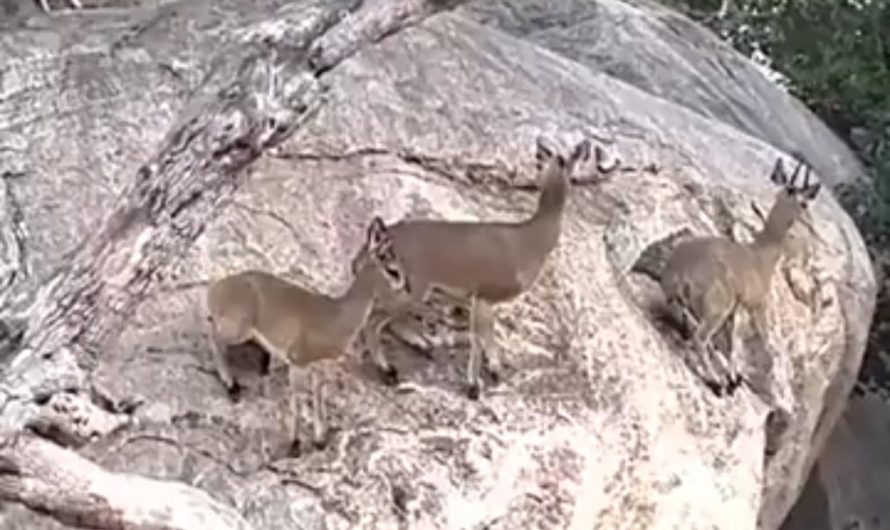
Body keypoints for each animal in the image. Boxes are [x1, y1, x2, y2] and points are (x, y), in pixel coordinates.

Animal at [205, 217, 408, 455]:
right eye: (393, 270)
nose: (406, 288)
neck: (337, 316)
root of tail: (215, 289)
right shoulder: (298, 362)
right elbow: (298, 399)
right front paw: (295, 444)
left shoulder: (319, 366)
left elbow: (318, 397)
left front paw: (320, 440)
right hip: (238, 329)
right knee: (214, 339)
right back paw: (232, 386)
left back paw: (261, 364)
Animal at [354, 136, 619, 400]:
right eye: (579, 155)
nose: (590, 148)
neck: (531, 241)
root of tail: (369, 248)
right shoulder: (485, 293)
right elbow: (479, 338)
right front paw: (474, 386)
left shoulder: (483, 299)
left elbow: (488, 334)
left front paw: (494, 371)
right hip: (412, 287)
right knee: (373, 321)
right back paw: (389, 371)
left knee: (387, 320)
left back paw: (421, 346)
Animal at [659, 155, 821, 394]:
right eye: (804, 203)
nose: (809, 222)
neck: (761, 255)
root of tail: (684, 269)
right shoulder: (752, 307)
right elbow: (741, 344)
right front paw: (732, 378)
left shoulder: (735, 311)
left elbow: (730, 344)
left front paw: (733, 376)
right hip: (717, 310)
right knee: (700, 339)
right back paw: (715, 382)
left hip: (686, 302)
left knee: (692, 328)